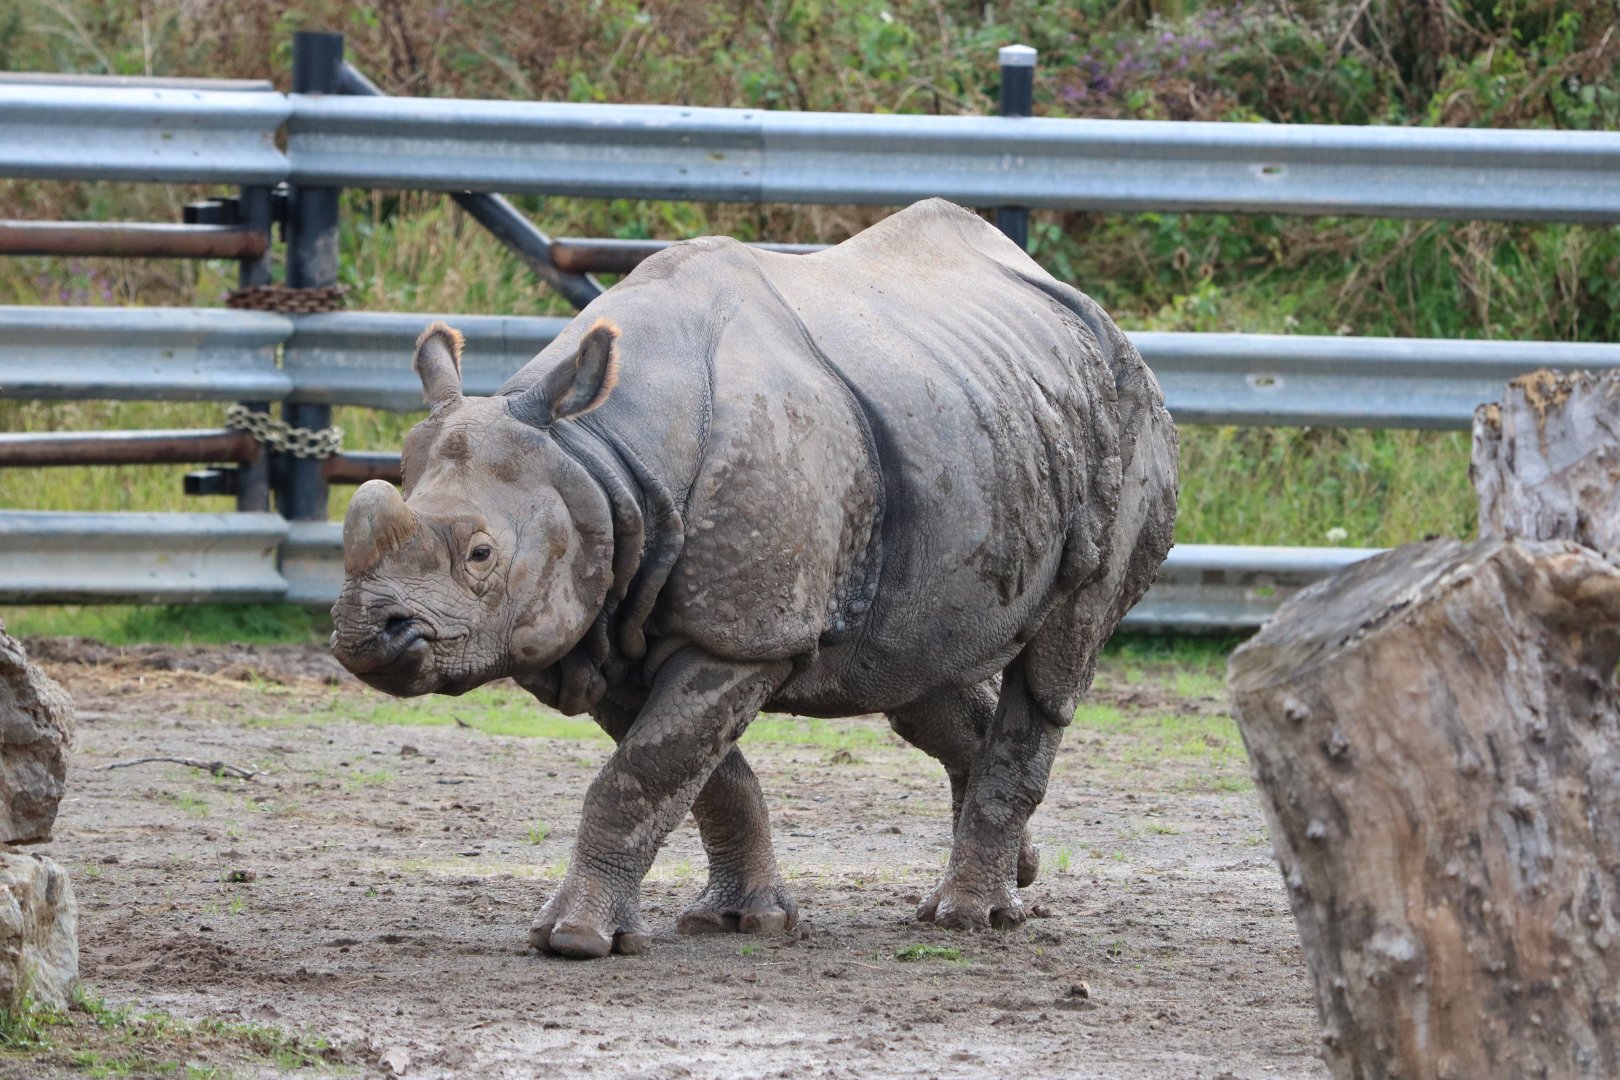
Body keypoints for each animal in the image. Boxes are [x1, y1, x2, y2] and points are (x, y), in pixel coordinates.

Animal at [331, 198, 1178, 959]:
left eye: (480, 555)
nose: (366, 636)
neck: (595, 454)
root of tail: (1102, 323)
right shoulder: (612, 623)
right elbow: (701, 775)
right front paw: (739, 921)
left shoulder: (741, 637)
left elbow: (643, 773)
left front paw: (570, 939)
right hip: (983, 428)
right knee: (913, 674)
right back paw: (1018, 877)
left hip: (1128, 424)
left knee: (1053, 668)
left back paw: (969, 918)